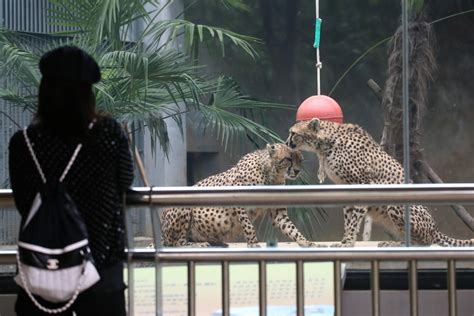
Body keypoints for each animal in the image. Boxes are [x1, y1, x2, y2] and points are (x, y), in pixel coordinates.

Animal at [160, 143, 318, 247]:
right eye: (288, 159)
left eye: (300, 160)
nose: (297, 171)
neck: (271, 174)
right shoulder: (239, 202)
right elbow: (248, 225)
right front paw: (253, 243)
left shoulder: (278, 213)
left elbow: (291, 228)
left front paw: (305, 242)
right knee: (176, 243)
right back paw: (198, 245)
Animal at [286, 118, 474, 247]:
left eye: (293, 133)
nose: (287, 142)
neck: (326, 143)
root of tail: (435, 228)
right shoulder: (346, 189)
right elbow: (348, 219)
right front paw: (346, 240)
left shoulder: (362, 185)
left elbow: (354, 219)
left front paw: (347, 242)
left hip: (396, 206)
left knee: (424, 243)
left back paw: (396, 244)